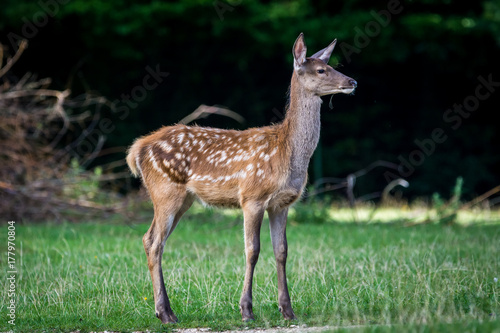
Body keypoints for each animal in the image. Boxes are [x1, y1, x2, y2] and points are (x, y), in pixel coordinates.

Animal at [127, 32, 358, 322]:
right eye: (321, 70)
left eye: (331, 65)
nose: (352, 82)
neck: (287, 152)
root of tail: (138, 149)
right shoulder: (252, 196)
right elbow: (252, 250)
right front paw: (246, 310)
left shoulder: (282, 203)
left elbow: (281, 251)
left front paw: (287, 310)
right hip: (165, 191)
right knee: (154, 242)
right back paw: (165, 312)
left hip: (183, 199)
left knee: (152, 239)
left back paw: (166, 311)